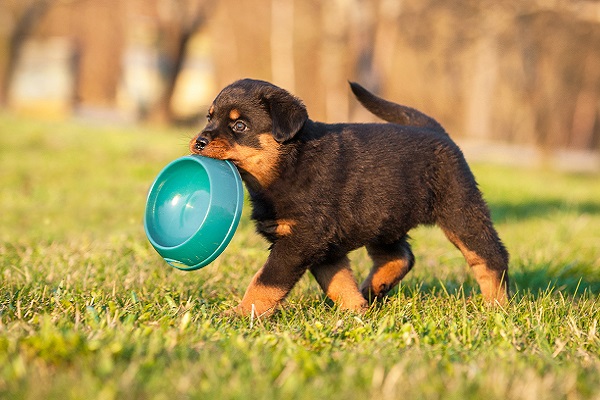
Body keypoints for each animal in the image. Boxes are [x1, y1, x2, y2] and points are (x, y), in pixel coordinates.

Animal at [190, 77, 508, 316]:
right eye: (209, 117)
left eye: (239, 126)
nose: (199, 142)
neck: (290, 162)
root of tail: (436, 130)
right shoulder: (323, 246)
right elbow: (339, 282)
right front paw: (356, 311)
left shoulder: (302, 239)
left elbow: (266, 281)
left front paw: (240, 314)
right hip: (384, 218)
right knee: (400, 256)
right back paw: (372, 289)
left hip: (460, 209)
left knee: (490, 256)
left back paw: (497, 305)